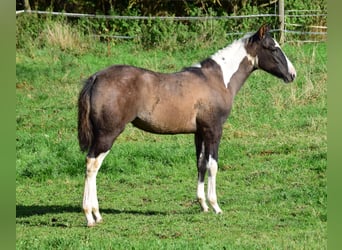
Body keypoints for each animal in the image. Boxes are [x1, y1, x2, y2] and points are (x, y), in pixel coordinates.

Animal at [78, 23, 296, 227]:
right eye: (273, 48)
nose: (292, 74)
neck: (218, 80)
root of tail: (96, 77)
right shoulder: (214, 130)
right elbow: (213, 165)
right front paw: (216, 206)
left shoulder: (200, 133)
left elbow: (200, 164)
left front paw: (203, 205)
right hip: (108, 134)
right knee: (92, 164)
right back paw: (91, 215)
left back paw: (96, 214)